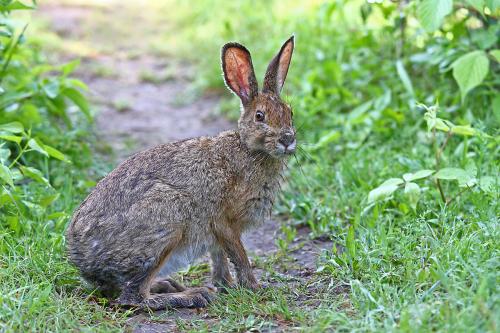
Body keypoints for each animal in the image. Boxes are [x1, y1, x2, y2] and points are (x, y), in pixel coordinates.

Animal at [64, 35, 294, 310]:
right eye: (260, 116)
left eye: (290, 113)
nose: (288, 140)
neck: (249, 149)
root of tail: (80, 256)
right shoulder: (225, 222)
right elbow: (238, 255)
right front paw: (254, 287)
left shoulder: (216, 234)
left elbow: (219, 257)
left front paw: (226, 285)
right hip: (167, 221)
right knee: (133, 297)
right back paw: (191, 295)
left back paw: (169, 285)